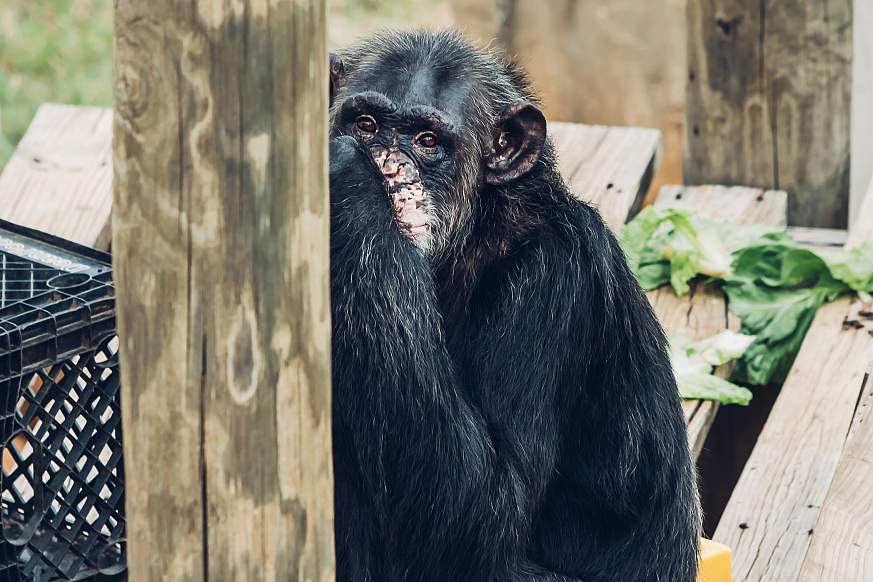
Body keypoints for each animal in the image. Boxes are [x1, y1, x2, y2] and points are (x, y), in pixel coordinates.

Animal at [328, 32, 700, 582]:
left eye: (426, 141)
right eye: (367, 124)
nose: (385, 168)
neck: (475, 232)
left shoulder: (551, 277)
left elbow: (481, 511)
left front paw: (349, 178)